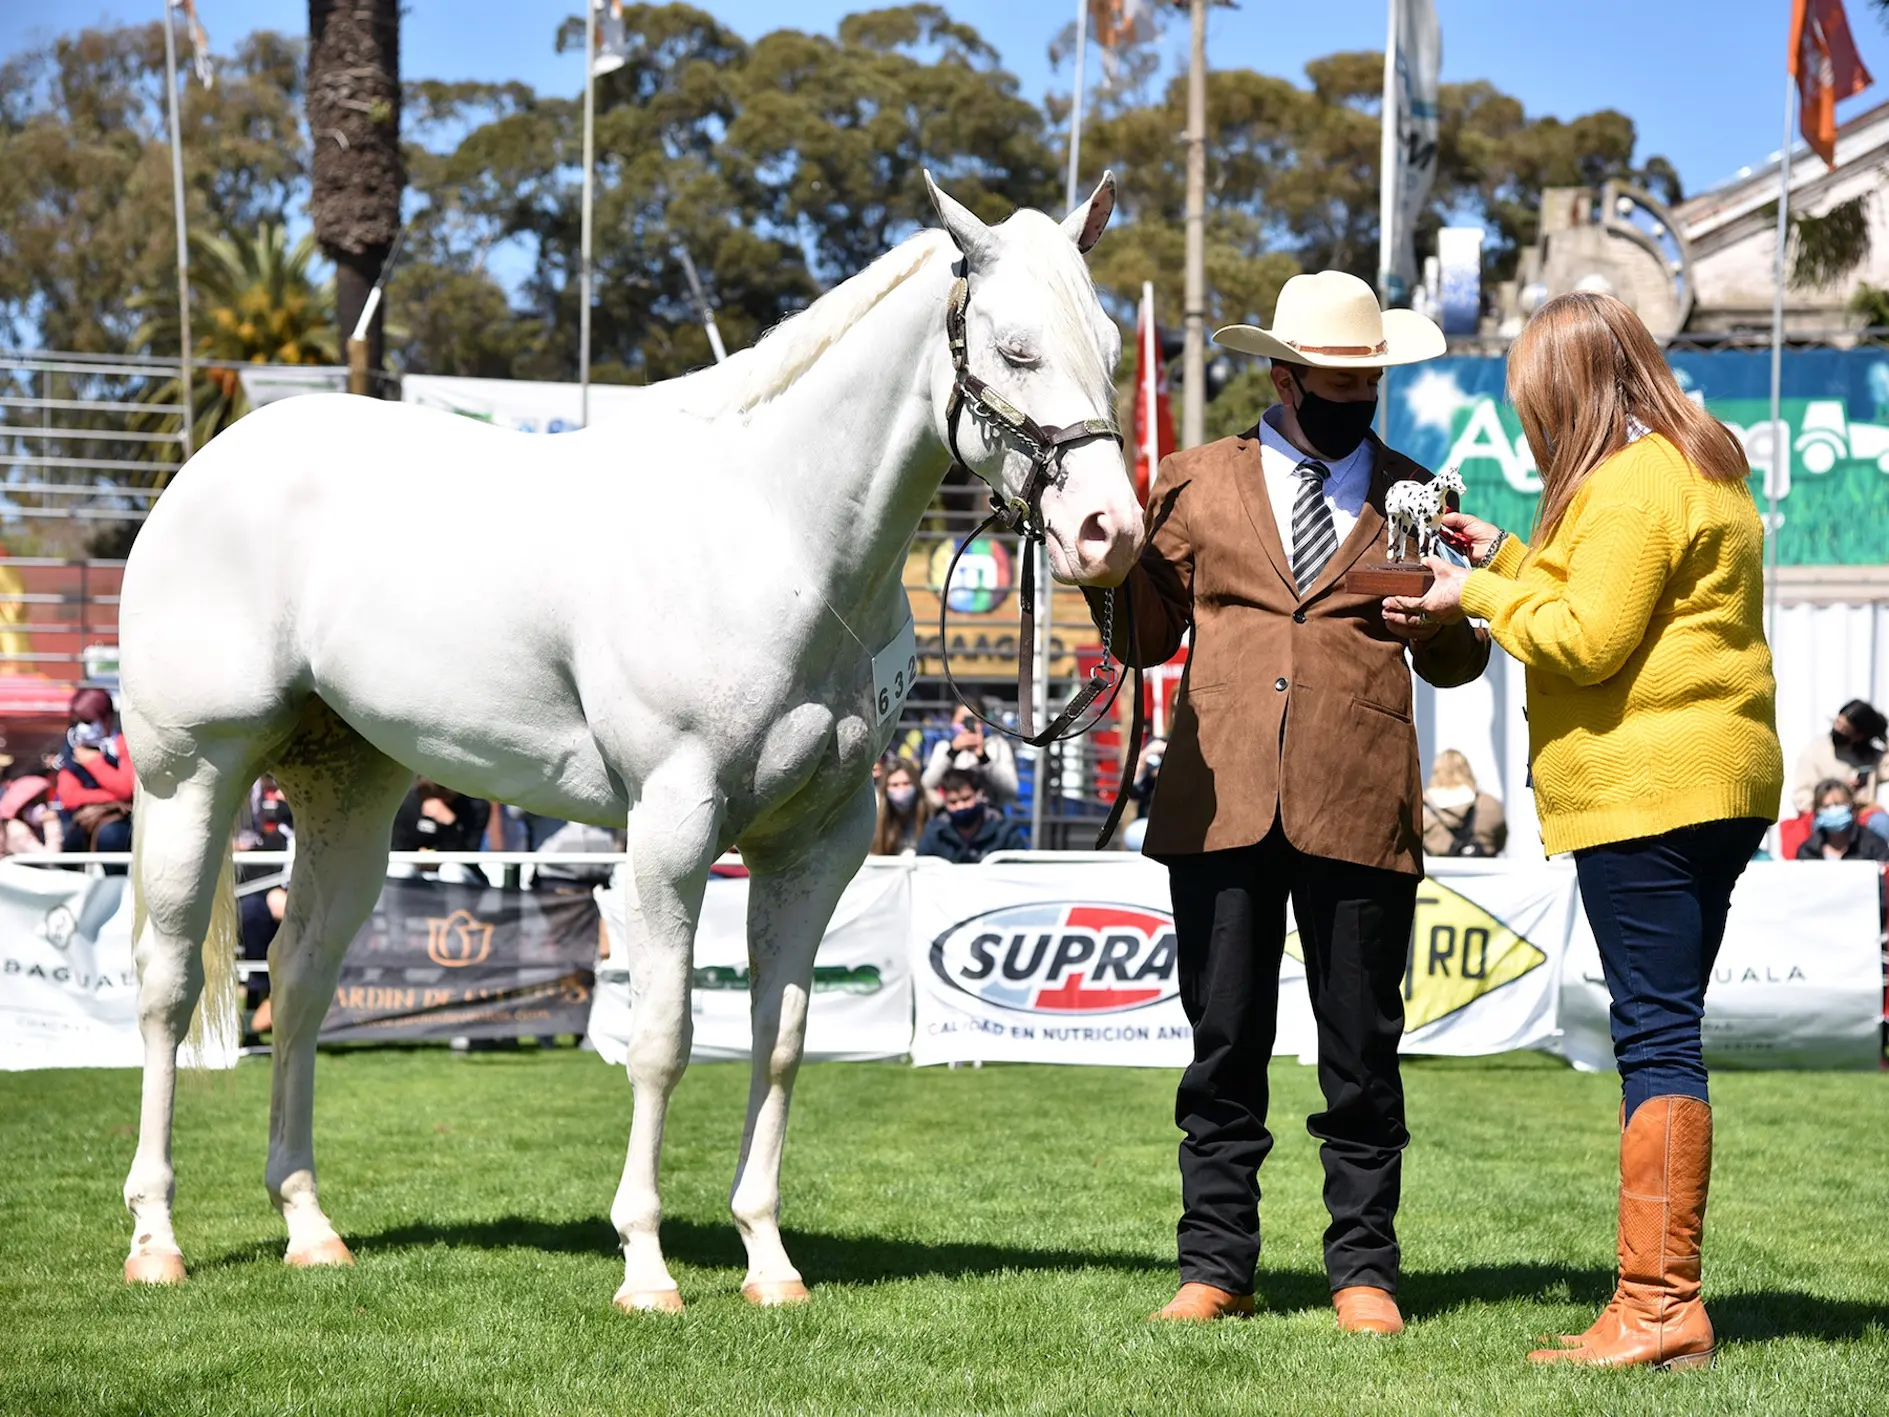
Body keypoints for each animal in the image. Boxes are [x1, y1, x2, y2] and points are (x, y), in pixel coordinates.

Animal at [125, 171, 1140, 1314]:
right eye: (1014, 349)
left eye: (1110, 344)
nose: (1110, 530)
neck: (776, 539)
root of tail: (205, 466)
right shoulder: (672, 824)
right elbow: (662, 1040)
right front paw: (646, 1265)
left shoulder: (819, 841)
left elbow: (781, 1041)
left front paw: (767, 1261)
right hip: (189, 775)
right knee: (167, 987)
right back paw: (156, 1239)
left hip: (349, 788)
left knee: (298, 980)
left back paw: (308, 1226)